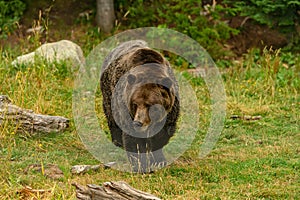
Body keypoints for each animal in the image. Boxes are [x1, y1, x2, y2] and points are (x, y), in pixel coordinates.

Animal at [101, 40, 179, 172]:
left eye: (150, 105)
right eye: (135, 103)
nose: (138, 122)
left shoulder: (169, 112)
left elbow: (161, 135)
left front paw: (158, 160)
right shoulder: (125, 107)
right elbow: (133, 139)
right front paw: (140, 165)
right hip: (108, 91)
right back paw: (117, 142)